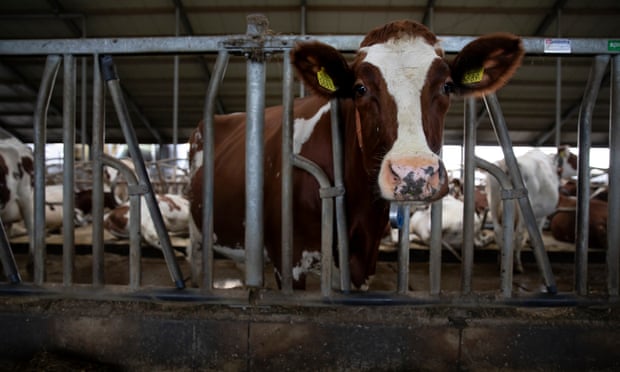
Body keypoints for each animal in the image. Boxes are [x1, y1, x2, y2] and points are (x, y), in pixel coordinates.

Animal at [188, 18, 524, 290]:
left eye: (448, 86)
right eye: (360, 88)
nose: (413, 173)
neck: (358, 209)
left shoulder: (362, 263)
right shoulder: (288, 259)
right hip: (199, 232)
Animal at [486, 146, 580, 274]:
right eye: (573, 157)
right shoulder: (541, 217)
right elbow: (537, 234)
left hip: (493, 204)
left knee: (498, 232)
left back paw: (501, 263)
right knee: (519, 235)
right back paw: (518, 265)